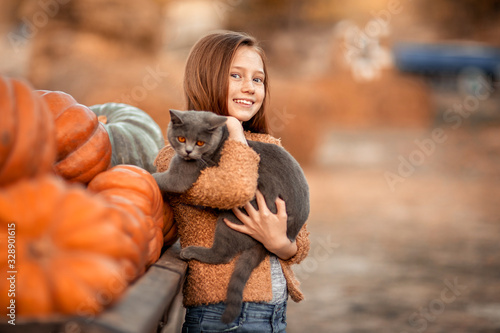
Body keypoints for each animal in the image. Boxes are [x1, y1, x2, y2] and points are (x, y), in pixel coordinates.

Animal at [152, 110, 308, 322]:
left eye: (200, 142)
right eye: (181, 138)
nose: (188, 151)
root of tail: (288, 234)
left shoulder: (179, 178)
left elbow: (157, 178)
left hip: (233, 216)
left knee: (223, 254)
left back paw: (190, 252)